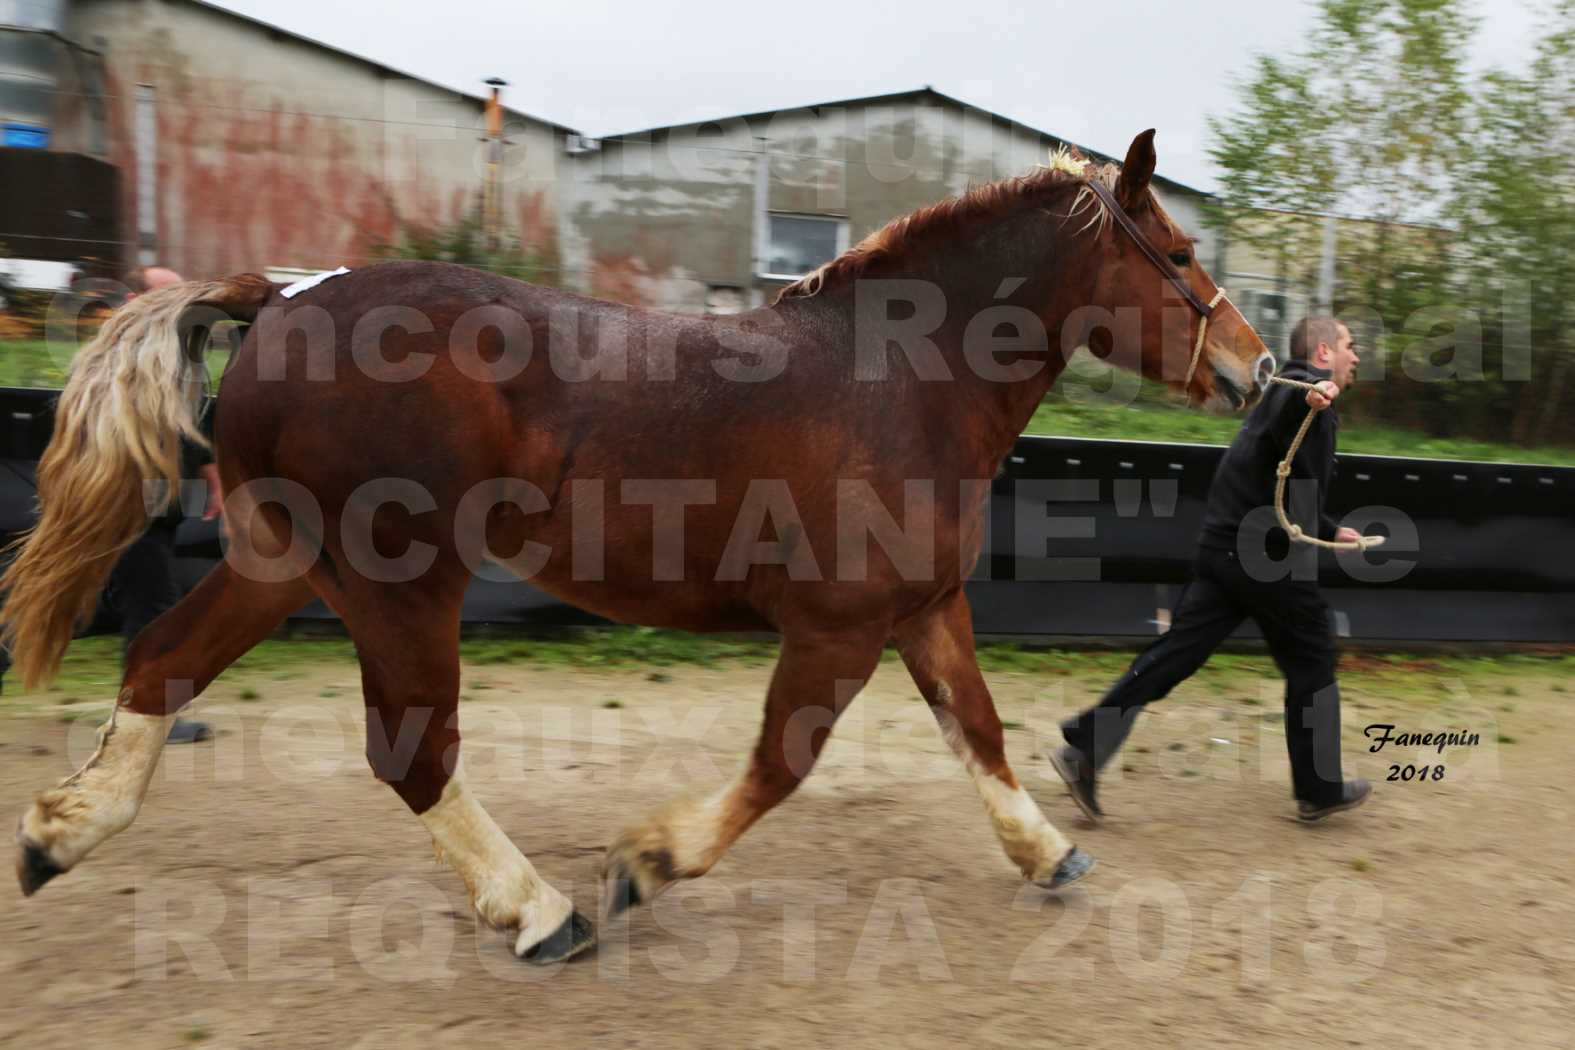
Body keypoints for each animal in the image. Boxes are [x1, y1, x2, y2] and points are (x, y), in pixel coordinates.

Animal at [6, 129, 1272, 963]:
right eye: (1176, 252)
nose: (1258, 368)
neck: (901, 382)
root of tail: (280, 296)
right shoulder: (836, 627)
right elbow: (781, 763)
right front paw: (643, 865)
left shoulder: (920, 611)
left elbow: (982, 731)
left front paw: (1047, 851)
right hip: (398, 583)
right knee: (411, 754)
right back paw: (542, 913)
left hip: (282, 560)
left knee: (162, 662)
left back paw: (60, 834)